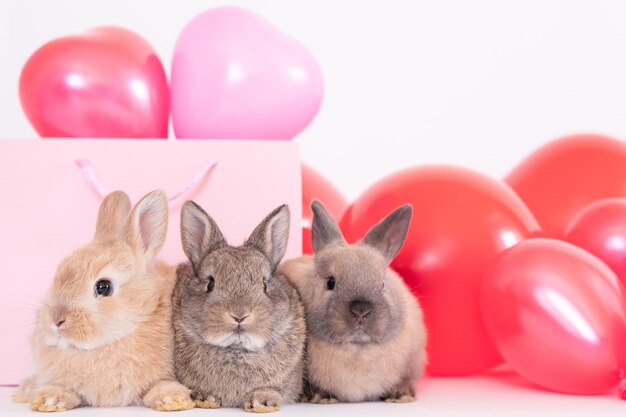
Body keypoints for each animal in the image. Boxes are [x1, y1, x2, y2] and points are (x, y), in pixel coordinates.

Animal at [12, 190, 193, 412]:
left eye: (104, 287)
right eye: (59, 272)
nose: (56, 320)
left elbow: (162, 384)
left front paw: (172, 399)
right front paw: (49, 399)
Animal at [172, 202, 306, 412]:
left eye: (264, 284)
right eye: (210, 283)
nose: (239, 316)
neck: (236, 349)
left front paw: (261, 400)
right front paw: (205, 397)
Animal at [280, 202, 426, 404]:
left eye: (382, 284)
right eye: (330, 282)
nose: (361, 311)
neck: (357, 349)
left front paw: (401, 395)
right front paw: (321, 396)